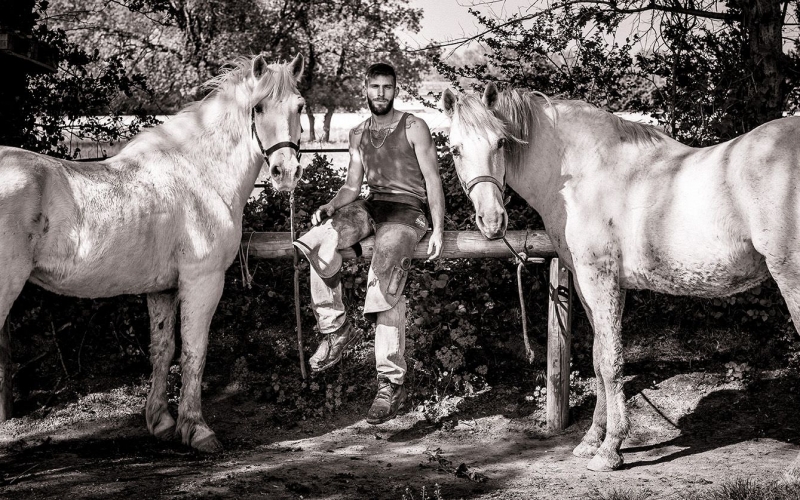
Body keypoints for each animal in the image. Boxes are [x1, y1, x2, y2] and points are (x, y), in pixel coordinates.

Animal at [0, 52, 306, 452]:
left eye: (300, 106)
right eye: (258, 107)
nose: (286, 172)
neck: (200, 173)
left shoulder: (162, 289)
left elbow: (163, 350)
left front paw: (161, 422)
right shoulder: (203, 281)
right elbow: (194, 352)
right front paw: (198, 430)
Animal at [440, 83, 800, 472]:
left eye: (501, 142)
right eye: (456, 149)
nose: (492, 221)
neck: (583, 173)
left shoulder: (600, 280)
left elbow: (612, 363)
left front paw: (610, 449)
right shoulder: (593, 286)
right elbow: (599, 359)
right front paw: (590, 441)